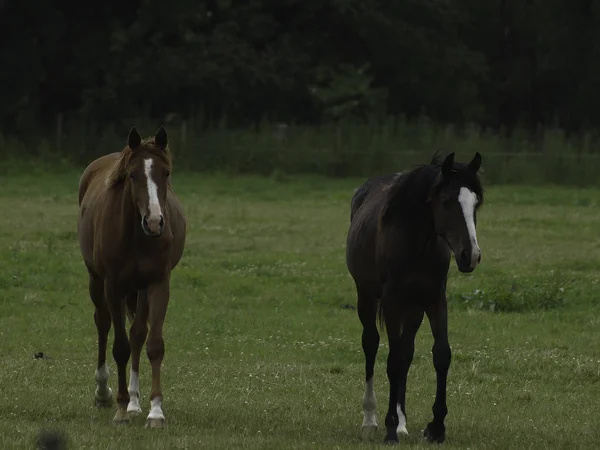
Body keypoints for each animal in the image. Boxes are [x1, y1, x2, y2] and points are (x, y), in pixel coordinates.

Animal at [77, 127, 186, 428]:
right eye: (133, 174)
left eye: (166, 173)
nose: (155, 222)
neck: (138, 236)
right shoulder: (113, 286)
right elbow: (120, 347)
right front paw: (120, 409)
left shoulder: (158, 284)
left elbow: (153, 344)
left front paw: (155, 411)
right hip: (96, 280)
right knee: (103, 324)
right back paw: (104, 393)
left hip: (140, 290)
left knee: (138, 334)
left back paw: (136, 402)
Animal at [346, 151, 482, 442]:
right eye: (446, 202)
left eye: (476, 203)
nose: (471, 256)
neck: (418, 244)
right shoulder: (392, 301)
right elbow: (392, 360)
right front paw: (389, 429)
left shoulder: (434, 299)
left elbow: (440, 354)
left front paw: (436, 427)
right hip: (367, 296)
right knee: (371, 344)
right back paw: (371, 419)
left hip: (414, 308)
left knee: (406, 352)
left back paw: (402, 422)